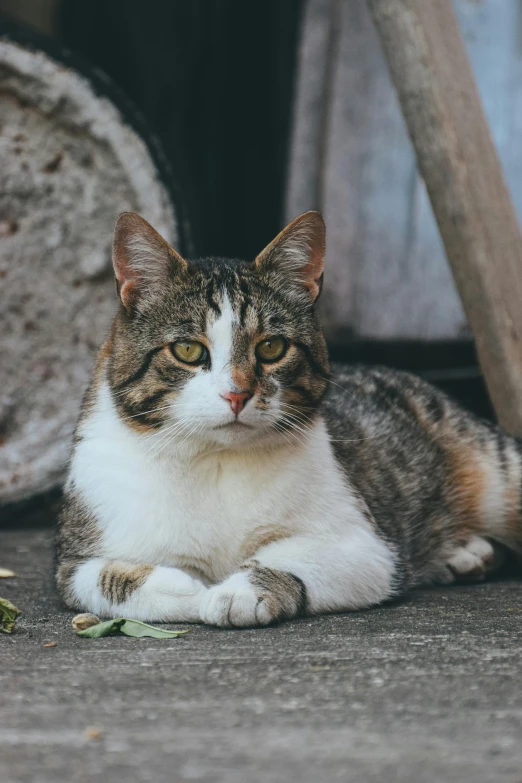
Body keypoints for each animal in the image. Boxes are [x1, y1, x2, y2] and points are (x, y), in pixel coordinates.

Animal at [54, 211, 516, 628]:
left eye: (272, 347)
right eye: (187, 350)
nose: (237, 394)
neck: (216, 460)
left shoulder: (368, 546)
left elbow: (293, 557)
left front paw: (241, 590)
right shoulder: (73, 560)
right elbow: (109, 579)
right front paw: (189, 589)